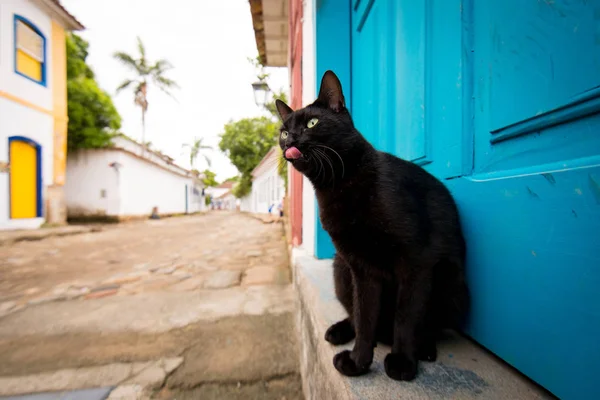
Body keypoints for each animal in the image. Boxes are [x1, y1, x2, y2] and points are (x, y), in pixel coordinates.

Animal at [276, 71, 468, 382]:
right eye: (283, 132)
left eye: (312, 123)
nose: (290, 138)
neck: (338, 185)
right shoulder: (361, 268)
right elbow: (365, 317)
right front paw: (358, 362)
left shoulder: (416, 261)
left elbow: (407, 315)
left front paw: (402, 362)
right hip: (340, 267)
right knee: (355, 315)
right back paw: (341, 331)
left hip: (452, 282)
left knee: (430, 323)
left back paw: (424, 347)